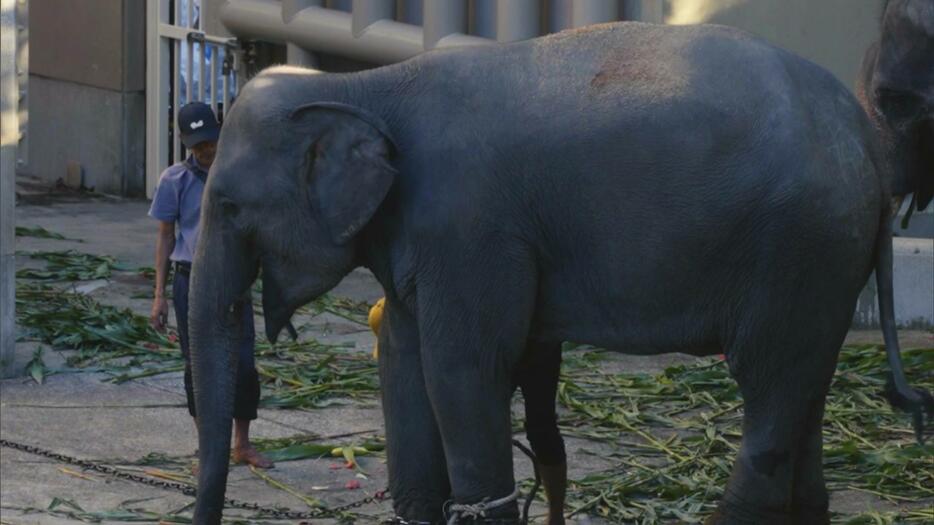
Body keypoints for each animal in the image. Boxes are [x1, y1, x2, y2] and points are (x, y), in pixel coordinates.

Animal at [186, 20, 932, 524]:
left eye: (229, 206)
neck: (359, 87)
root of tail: (866, 144)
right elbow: (401, 358)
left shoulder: (469, 227)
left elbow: (462, 370)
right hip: (825, 261)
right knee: (804, 399)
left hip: (797, 248)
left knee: (770, 399)